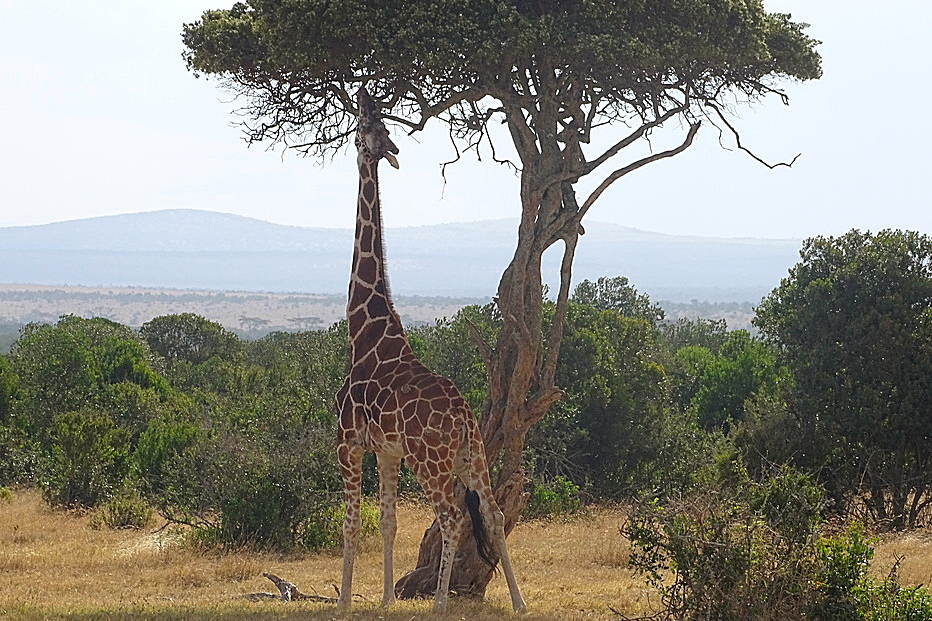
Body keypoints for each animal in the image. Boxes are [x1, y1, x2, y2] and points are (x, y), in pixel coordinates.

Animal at [334, 87, 524, 616]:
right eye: (374, 127)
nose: (392, 148)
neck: (364, 336)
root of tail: (461, 413)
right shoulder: (386, 451)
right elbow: (388, 521)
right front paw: (383, 600)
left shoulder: (347, 442)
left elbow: (351, 522)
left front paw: (344, 603)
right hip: (471, 456)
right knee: (494, 515)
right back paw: (519, 602)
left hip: (433, 462)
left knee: (452, 518)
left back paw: (439, 603)